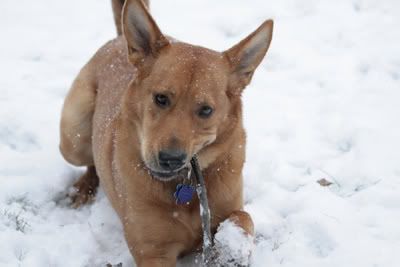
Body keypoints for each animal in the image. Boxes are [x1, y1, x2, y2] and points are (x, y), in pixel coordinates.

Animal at [59, 0, 274, 266]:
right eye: (160, 98)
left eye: (206, 110)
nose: (170, 159)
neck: (185, 186)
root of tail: (119, 39)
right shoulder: (153, 252)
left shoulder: (227, 205)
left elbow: (244, 217)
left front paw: (232, 249)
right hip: (72, 138)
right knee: (89, 160)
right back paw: (83, 187)